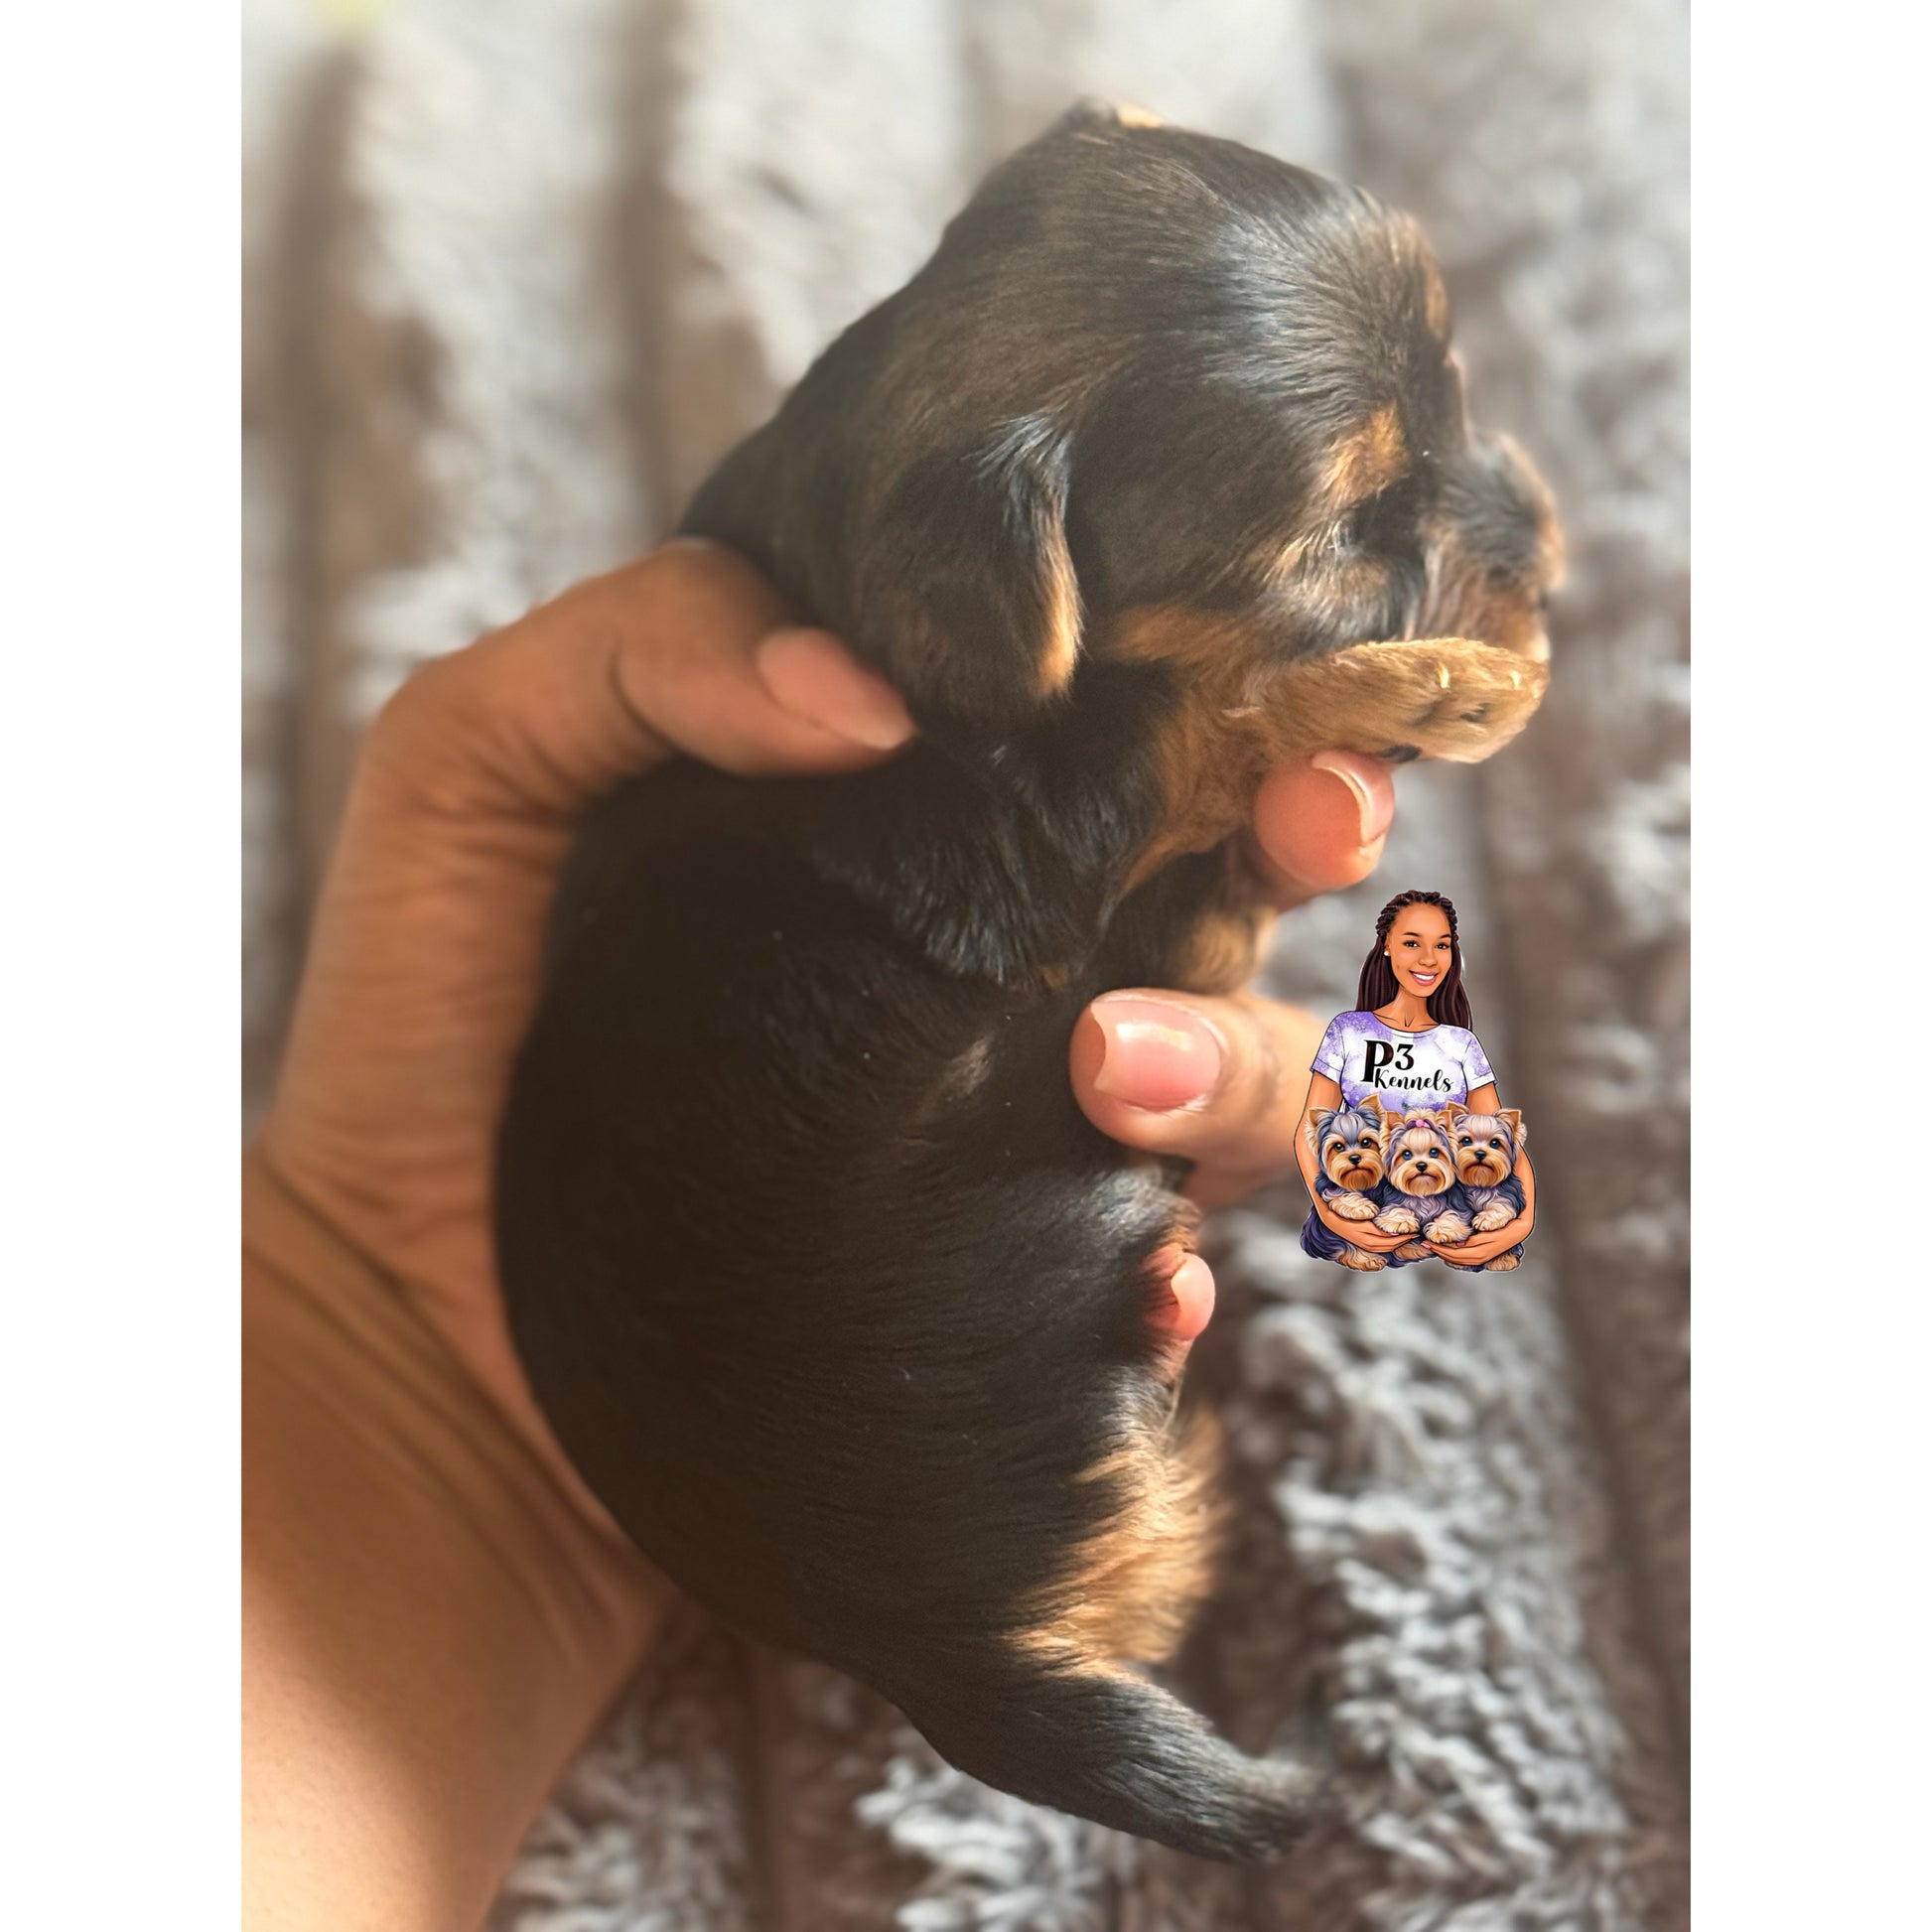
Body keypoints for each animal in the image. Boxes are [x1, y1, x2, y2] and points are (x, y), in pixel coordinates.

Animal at [496, 101, 1561, 1862]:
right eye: (1351, 532)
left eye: (1463, 385)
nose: (1546, 547)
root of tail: (942, 1659)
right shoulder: (1059, 834)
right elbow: (1210, 716)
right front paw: (1443, 680)